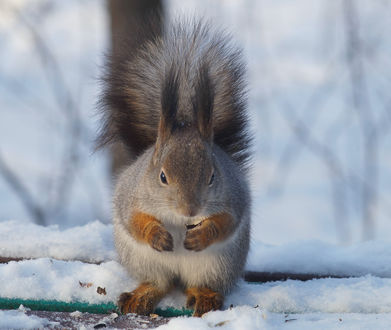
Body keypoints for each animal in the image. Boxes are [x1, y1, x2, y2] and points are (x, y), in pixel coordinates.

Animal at [96, 20, 253, 318]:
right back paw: (142, 295)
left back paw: (204, 296)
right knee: (161, 283)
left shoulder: (234, 198)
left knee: (196, 283)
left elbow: (226, 222)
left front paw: (202, 234)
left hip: (217, 265)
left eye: (212, 176)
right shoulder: (131, 196)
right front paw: (156, 234)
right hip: (144, 260)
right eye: (162, 177)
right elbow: (134, 221)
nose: (190, 210)